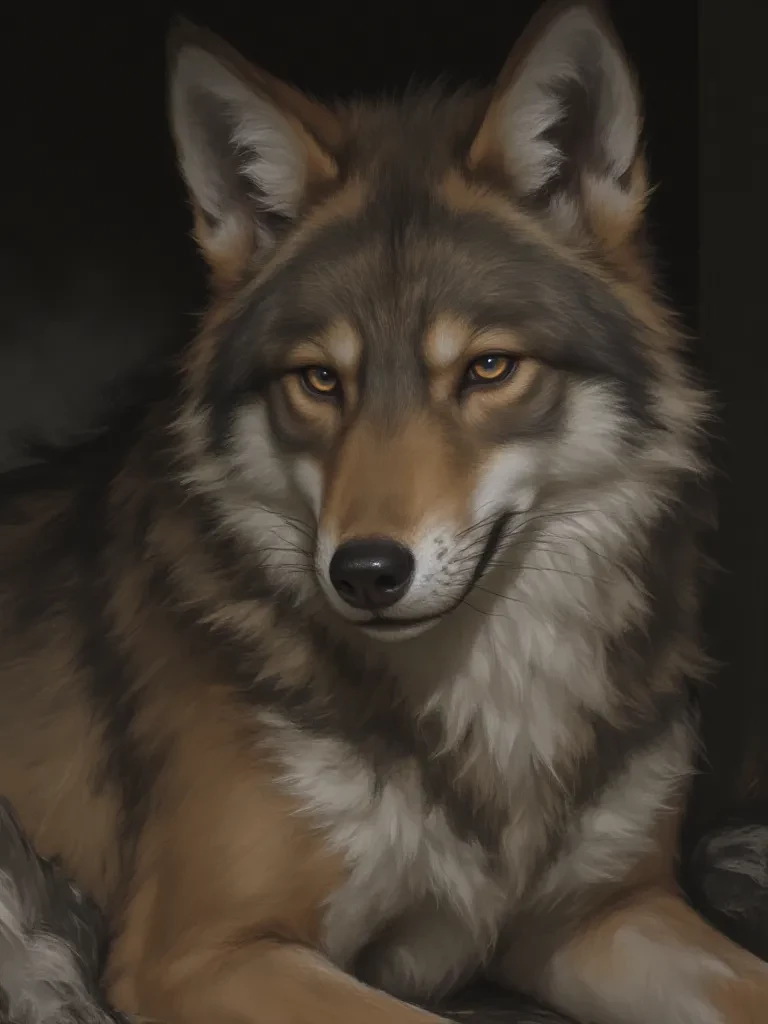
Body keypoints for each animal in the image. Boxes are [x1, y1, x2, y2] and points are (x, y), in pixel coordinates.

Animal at [1, 2, 766, 1022]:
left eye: (488, 368)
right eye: (320, 381)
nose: (364, 572)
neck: (490, 709)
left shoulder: (602, 915)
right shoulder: (197, 951)